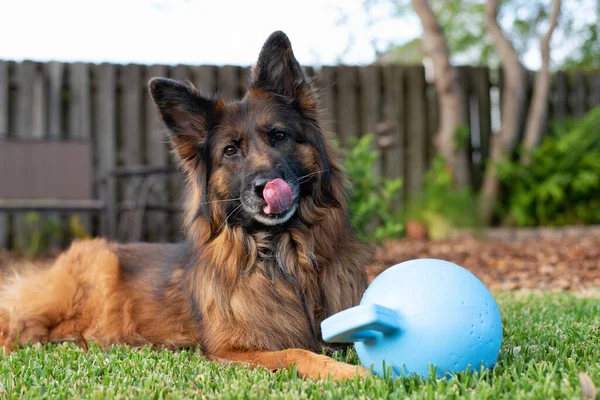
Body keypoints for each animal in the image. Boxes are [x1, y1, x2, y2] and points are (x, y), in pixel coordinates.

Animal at [0, 31, 372, 382]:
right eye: (230, 151)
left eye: (279, 136)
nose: (266, 186)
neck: (284, 254)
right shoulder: (233, 348)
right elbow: (297, 353)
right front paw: (354, 373)